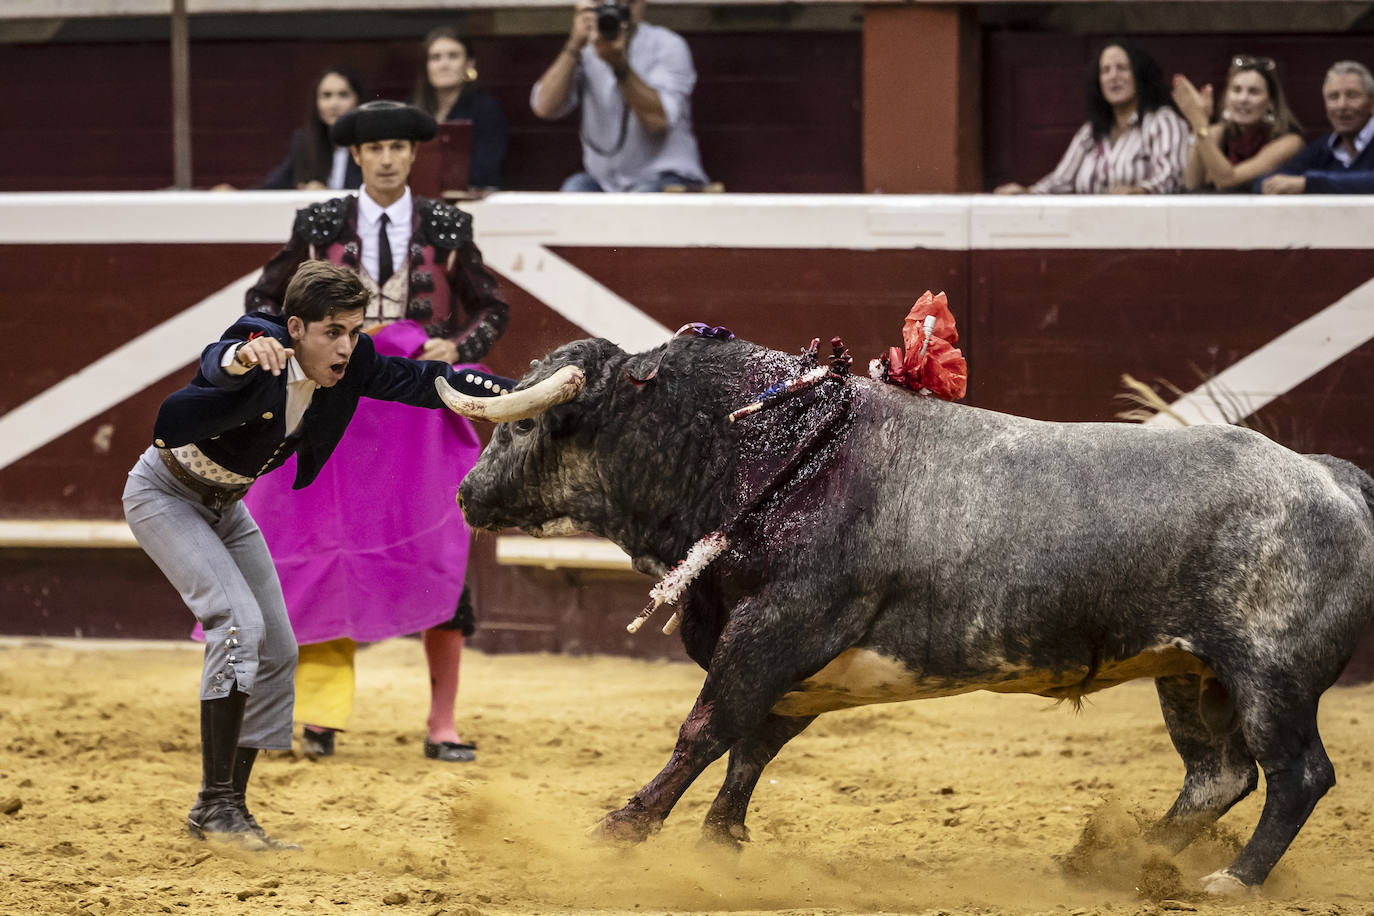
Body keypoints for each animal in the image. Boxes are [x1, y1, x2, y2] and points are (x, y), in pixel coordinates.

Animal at [436, 330, 1374, 895]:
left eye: (524, 429)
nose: (467, 494)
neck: (770, 451)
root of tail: (1330, 475)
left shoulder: (778, 632)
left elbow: (707, 731)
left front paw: (622, 828)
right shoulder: (797, 666)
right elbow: (753, 745)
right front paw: (721, 842)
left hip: (1270, 676)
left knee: (1297, 775)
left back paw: (1232, 880)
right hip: (1188, 670)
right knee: (1218, 774)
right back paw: (1114, 858)